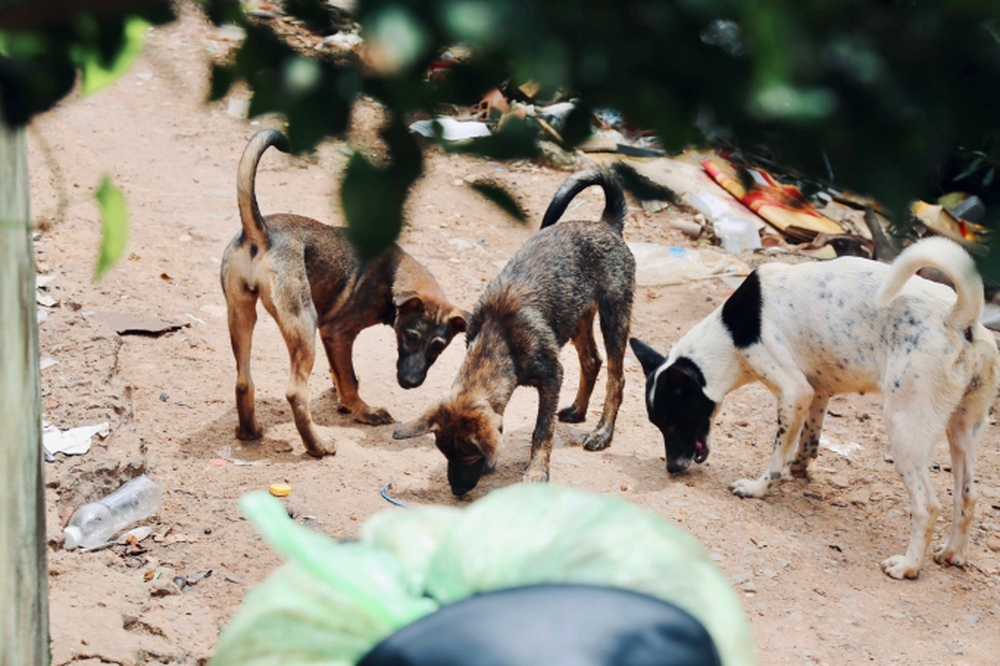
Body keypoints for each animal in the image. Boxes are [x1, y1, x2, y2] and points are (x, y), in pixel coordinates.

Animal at [221, 127, 466, 454]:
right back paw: (317, 446)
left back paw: (249, 432)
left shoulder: (331, 338)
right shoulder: (337, 333)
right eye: (411, 336)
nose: (410, 383)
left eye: (439, 346)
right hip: (303, 323)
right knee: (295, 392)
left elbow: (340, 373)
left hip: (241, 313)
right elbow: (349, 380)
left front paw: (340, 398)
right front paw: (363, 411)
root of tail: (260, 232)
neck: (393, 274)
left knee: (243, 381)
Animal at [392, 169, 632, 496]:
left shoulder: (552, 376)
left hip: (614, 314)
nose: (456, 491)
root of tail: (606, 224)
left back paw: (602, 433)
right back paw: (578, 411)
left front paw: (537, 471)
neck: (499, 336)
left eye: (470, 455)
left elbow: (542, 430)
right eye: (444, 453)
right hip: (577, 314)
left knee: (615, 377)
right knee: (591, 360)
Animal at [636, 237, 996, 576]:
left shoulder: (794, 392)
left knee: (928, 505)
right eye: (658, 425)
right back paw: (953, 554)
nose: (672, 469)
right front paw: (800, 466)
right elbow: (808, 441)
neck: (729, 333)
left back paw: (907, 566)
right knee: (967, 496)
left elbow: (776, 458)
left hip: (904, 428)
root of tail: (958, 319)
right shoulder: (818, 392)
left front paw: (758, 488)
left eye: (673, 423)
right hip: (963, 430)